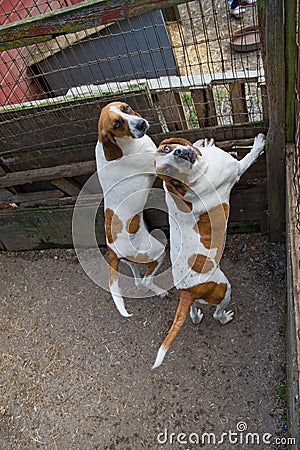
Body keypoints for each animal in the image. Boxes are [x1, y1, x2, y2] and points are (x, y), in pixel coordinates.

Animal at [95, 102, 166, 318]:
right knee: (146, 280)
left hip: (131, 261)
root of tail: (111, 250)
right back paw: (161, 290)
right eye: (117, 124)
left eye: (126, 108)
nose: (141, 124)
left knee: (138, 279)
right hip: (158, 251)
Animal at [152, 132, 264, 368]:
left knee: (193, 311)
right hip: (224, 290)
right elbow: (249, 158)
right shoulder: (237, 169)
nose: (180, 152)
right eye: (168, 171)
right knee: (217, 314)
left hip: (195, 300)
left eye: (167, 149)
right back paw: (224, 318)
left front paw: (204, 143)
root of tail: (186, 291)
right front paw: (258, 144)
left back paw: (196, 317)